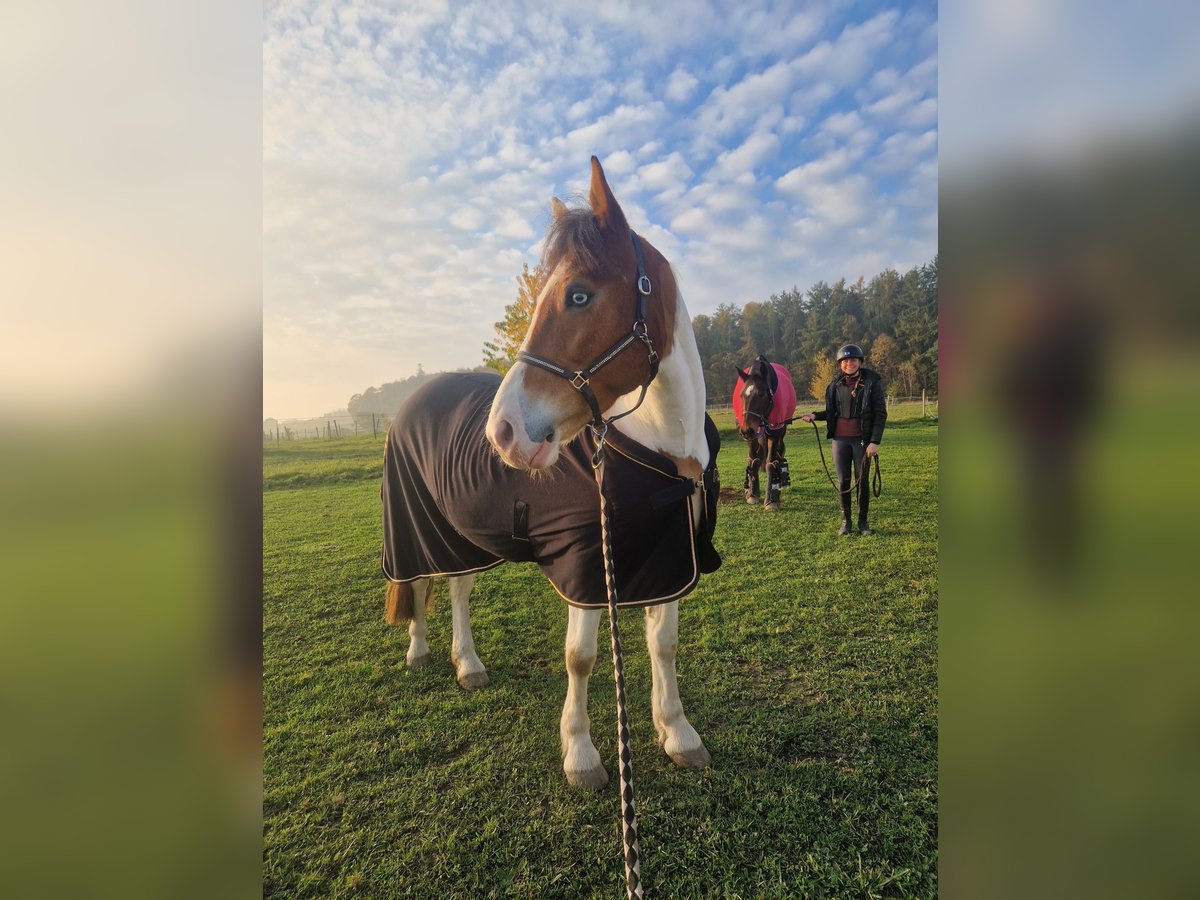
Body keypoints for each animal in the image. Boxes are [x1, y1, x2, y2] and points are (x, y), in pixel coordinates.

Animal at [381, 158, 720, 792]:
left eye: (579, 294)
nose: (504, 433)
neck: (662, 453)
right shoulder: (585, 568)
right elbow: (580, 658)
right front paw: (582, 754)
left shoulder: (667, 559)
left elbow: (664, 644)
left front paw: (677, 733)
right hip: (417, 526)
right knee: (418, 583)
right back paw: (419, 652)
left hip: (462, 534)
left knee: (457, 587)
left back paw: (469, 665)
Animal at [729, 355, 796, 511]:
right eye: (741, 395)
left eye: (761, 394)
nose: (746, 430)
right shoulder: (752, 436)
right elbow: (754, 460)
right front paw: (753, 492)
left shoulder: (775, 432)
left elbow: (771, 463)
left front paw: (772, 499)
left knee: (780, 451)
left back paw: (783, 480)